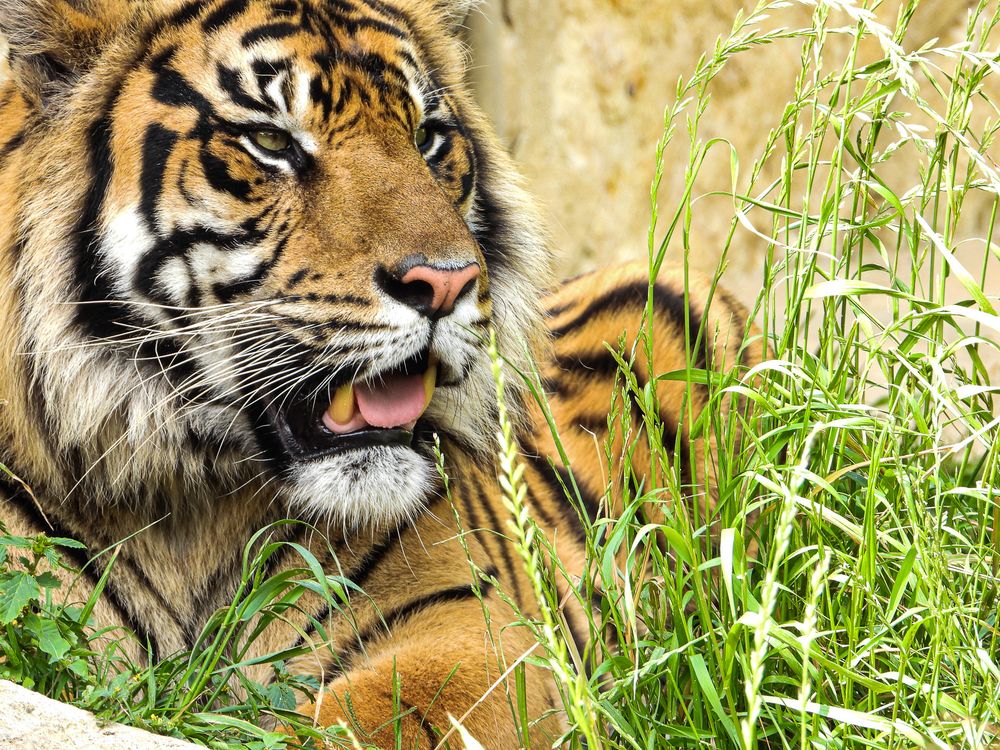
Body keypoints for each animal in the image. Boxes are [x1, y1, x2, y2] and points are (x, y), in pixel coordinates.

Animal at [0, 0, 762, 747]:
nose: (448, 283)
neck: (191, 512)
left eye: (426, 137)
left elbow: (383, 712)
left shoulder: (482, 625)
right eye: (270, 142)